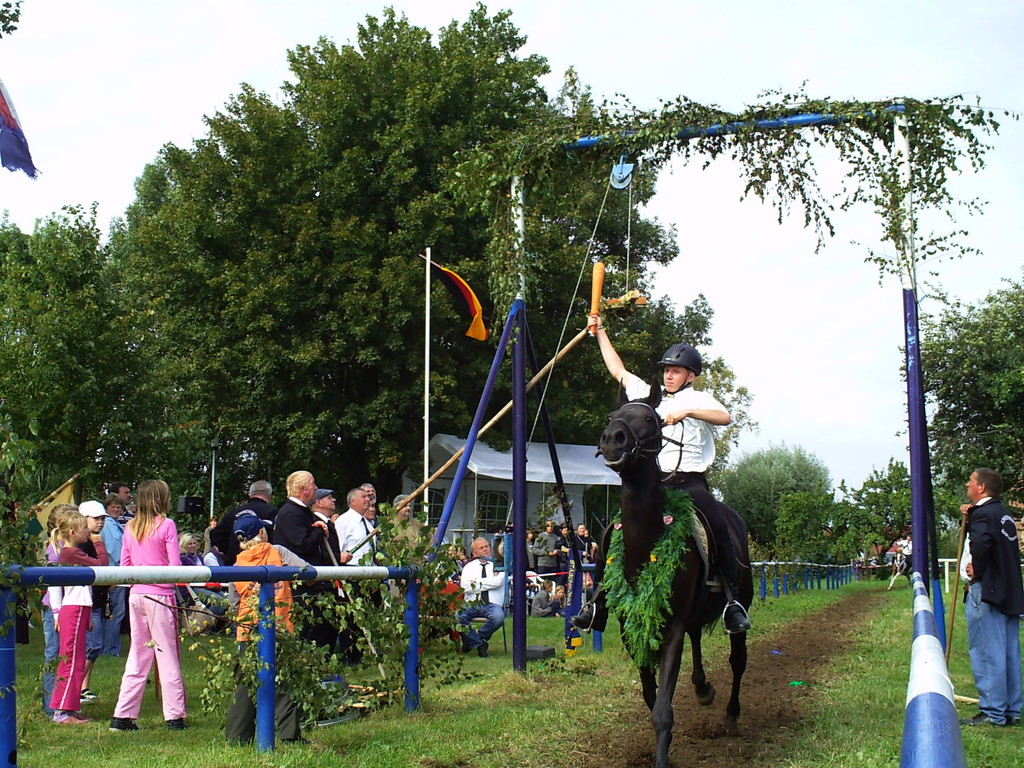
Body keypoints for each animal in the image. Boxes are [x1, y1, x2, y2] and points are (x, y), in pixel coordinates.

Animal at [596, 383, 753, 768]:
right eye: (611, 415)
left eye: (650, 418)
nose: (612, 439)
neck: (645, 543)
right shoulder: (631, 627)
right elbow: (650, 695)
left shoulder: (672, 629)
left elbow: (663, 711)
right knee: (698, 639)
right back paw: (702, 687)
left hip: (740, 603)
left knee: (738, 659)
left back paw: (731, 714)